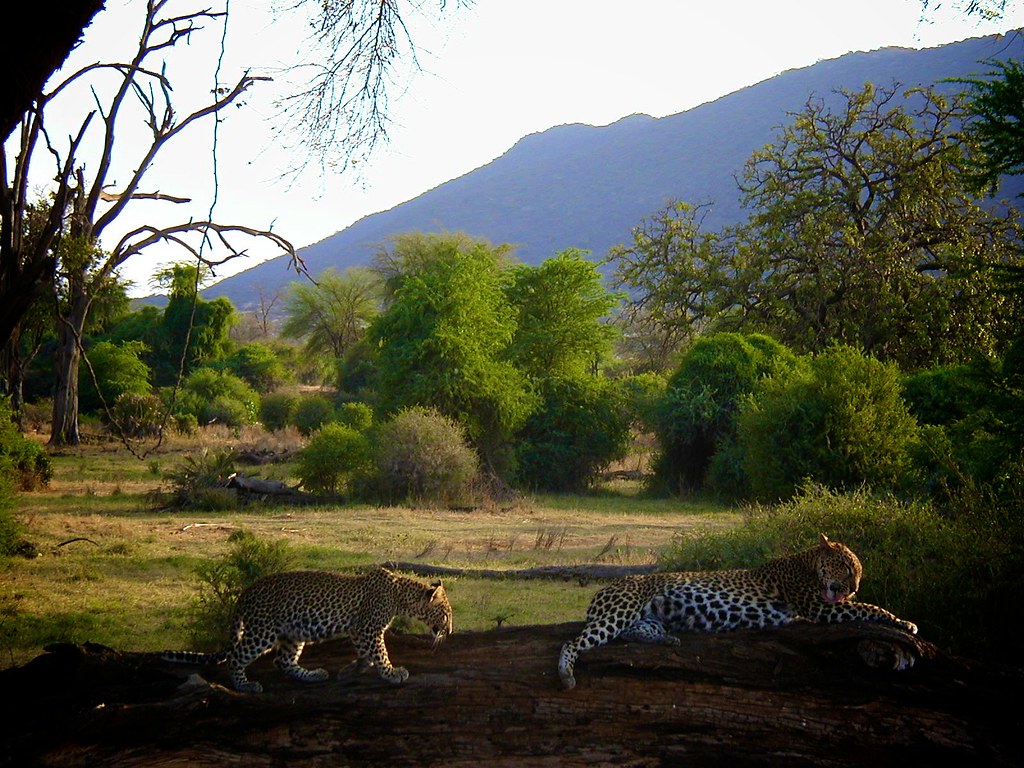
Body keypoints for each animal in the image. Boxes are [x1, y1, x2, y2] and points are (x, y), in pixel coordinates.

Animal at [163, 565, 452, 696]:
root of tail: (247, 591)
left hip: (293, 633)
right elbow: (379, 653)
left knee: (283, 661)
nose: (449, 632)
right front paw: (393, 673)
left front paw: (350, 670)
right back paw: (245, 685)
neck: (400, 596)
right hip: (262, 630)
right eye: (447, 615)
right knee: (237, 656)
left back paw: (313, 675)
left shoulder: (359, 630)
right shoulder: (369, 628)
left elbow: (366, 656)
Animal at [561, 536, 921, 692]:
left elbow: (866, 606)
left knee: (633, 631)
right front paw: (905, 622)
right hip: (620, 609)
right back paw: (566, 675)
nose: (856, 585)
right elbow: (870, 607)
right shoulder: (818, 607)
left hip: (648, 616)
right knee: (575, 641)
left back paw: (668, 639)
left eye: (857, 570)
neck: (806, 563)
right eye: (847, 566)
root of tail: (601, 591)